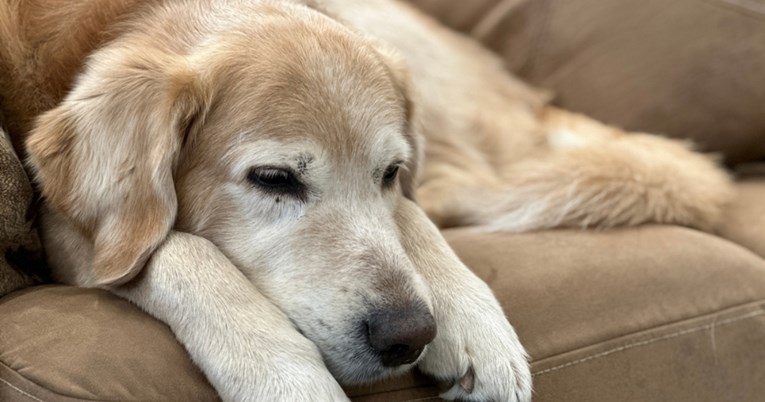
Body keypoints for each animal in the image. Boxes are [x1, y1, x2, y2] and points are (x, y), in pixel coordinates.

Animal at [0, 0, 728, 400]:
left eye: (387, 171)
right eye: (273, 179)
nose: (410, 335)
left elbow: (411, 214)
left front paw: (475, 324)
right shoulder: (70, 229)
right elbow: (180, 250)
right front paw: (284, 379)